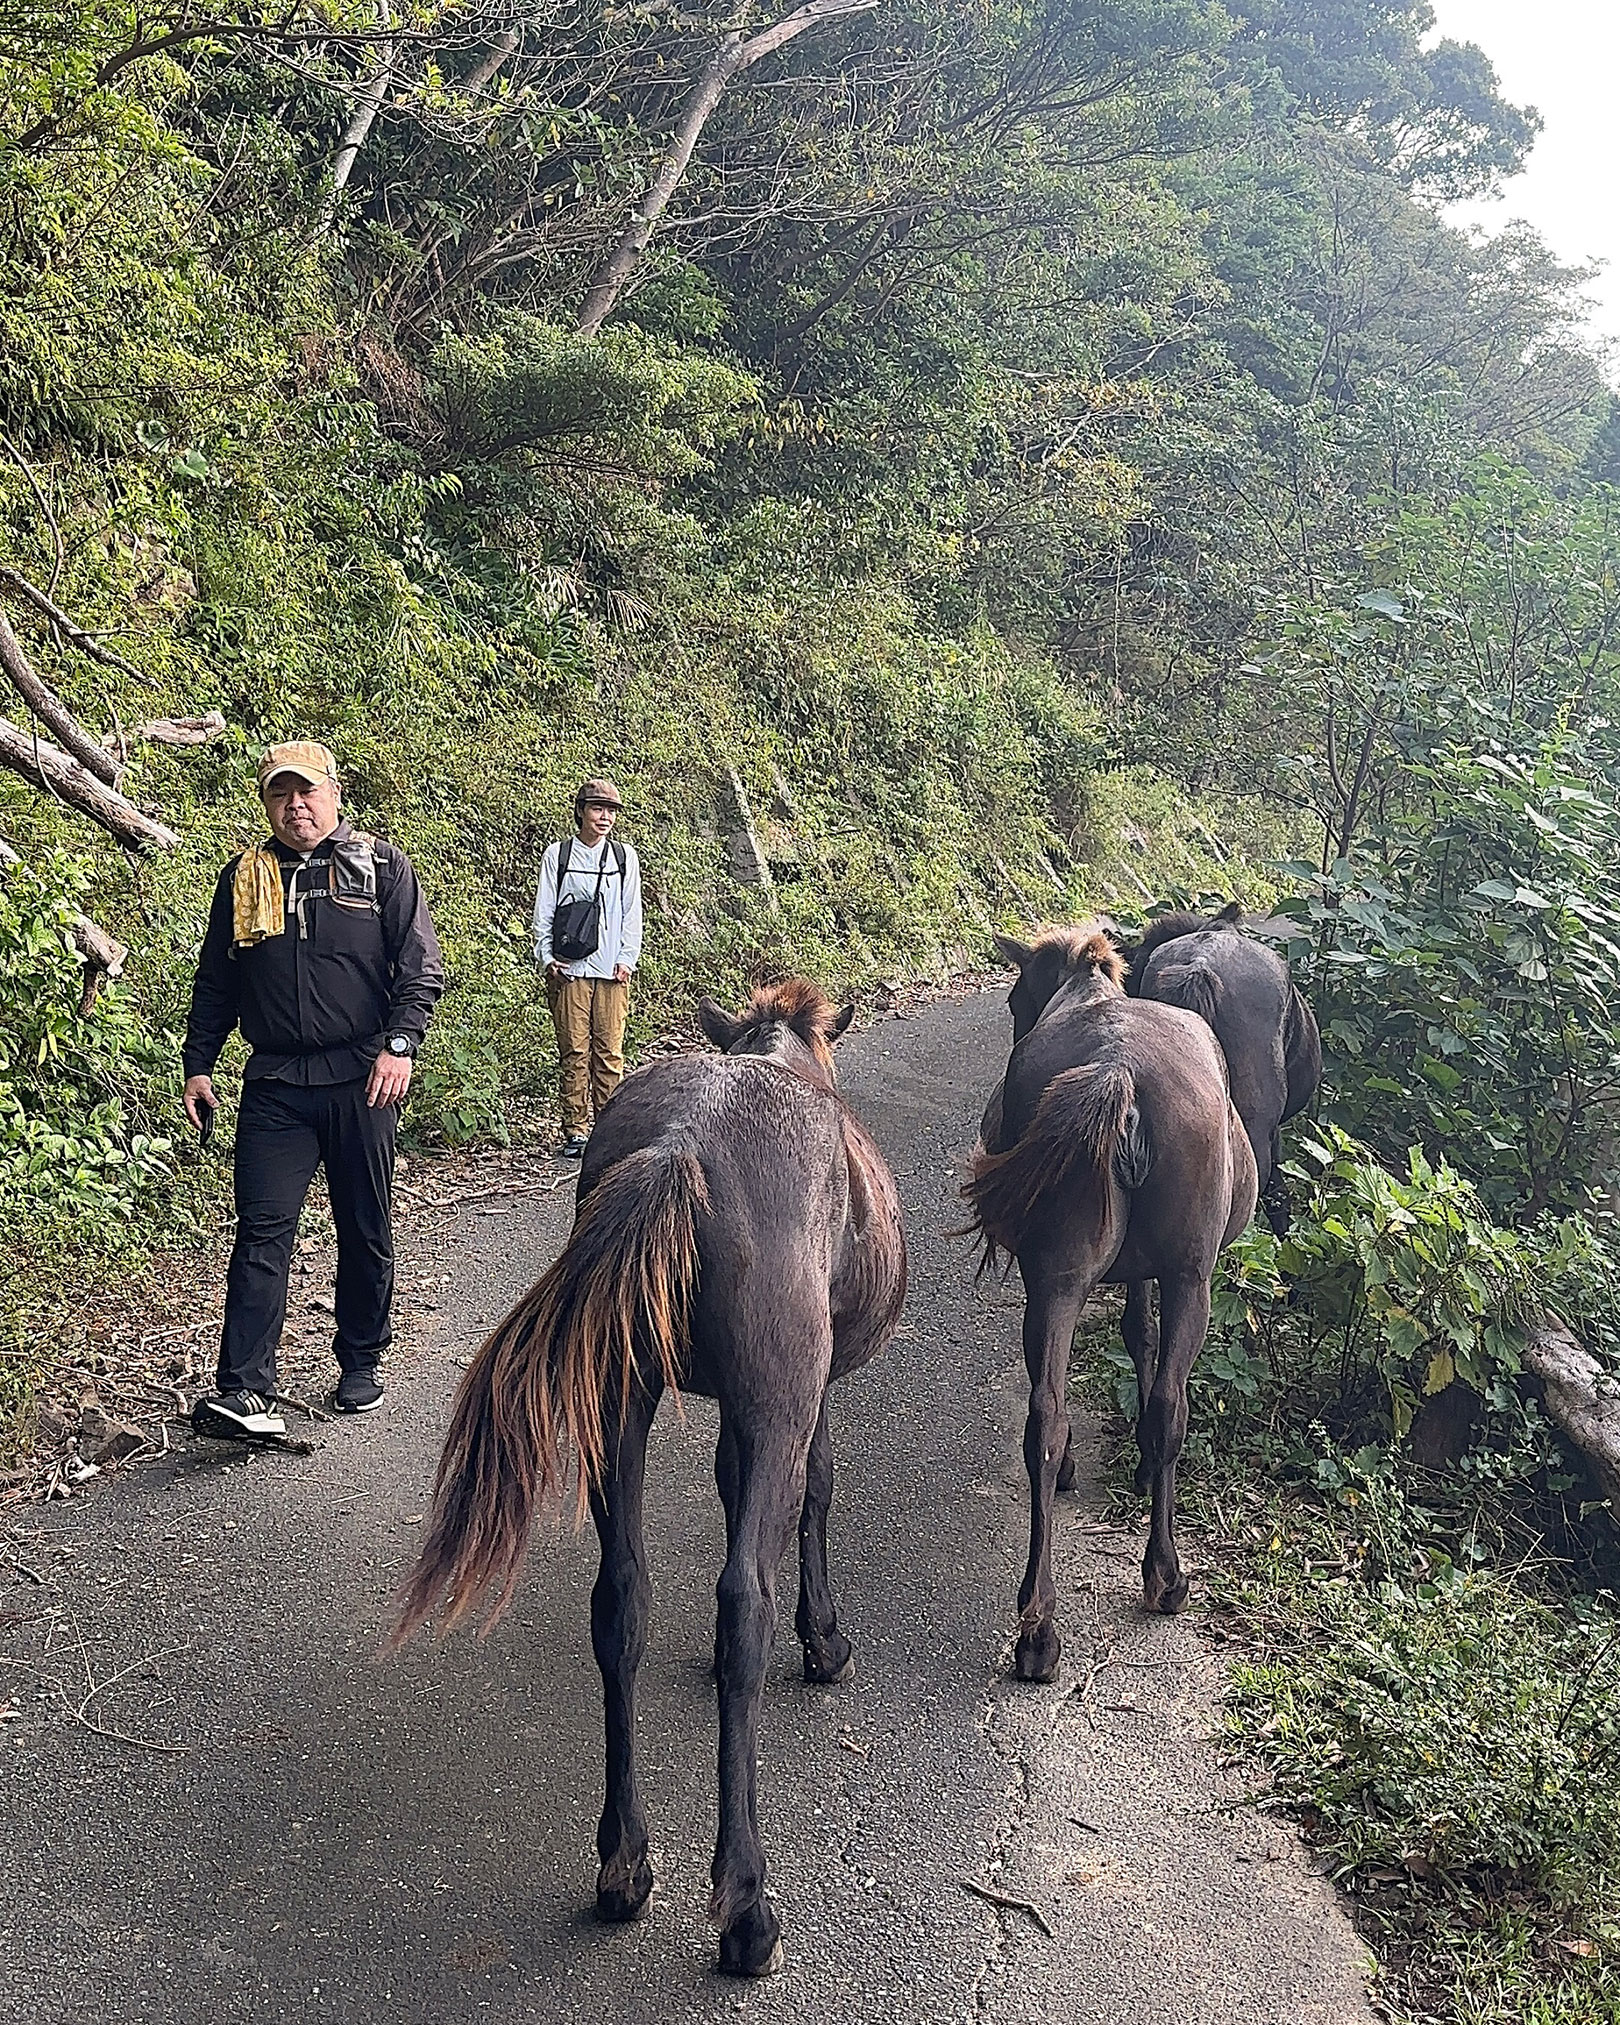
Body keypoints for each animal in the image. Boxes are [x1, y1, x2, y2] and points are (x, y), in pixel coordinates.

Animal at [386, 980, 903, 1976]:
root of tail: (681, 1146)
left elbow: (727, 1485)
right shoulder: (805, 1395)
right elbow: (815, 1492)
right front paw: (824, 1639)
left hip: (618, 1392)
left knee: (621, 1596)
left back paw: (623, 1862)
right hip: (776, 1392)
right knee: (743, 1600)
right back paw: (746, 1908)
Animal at [967, 927, 1255, 1668]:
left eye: (1015, 999)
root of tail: (1116, 1068)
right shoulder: (1158, 1274)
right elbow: (1141, 1340)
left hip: (1057, 1277)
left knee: (1045, 1416)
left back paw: (1038, 1627)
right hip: (1190, 1277)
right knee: (1169, 1407)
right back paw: (1165, 1576)